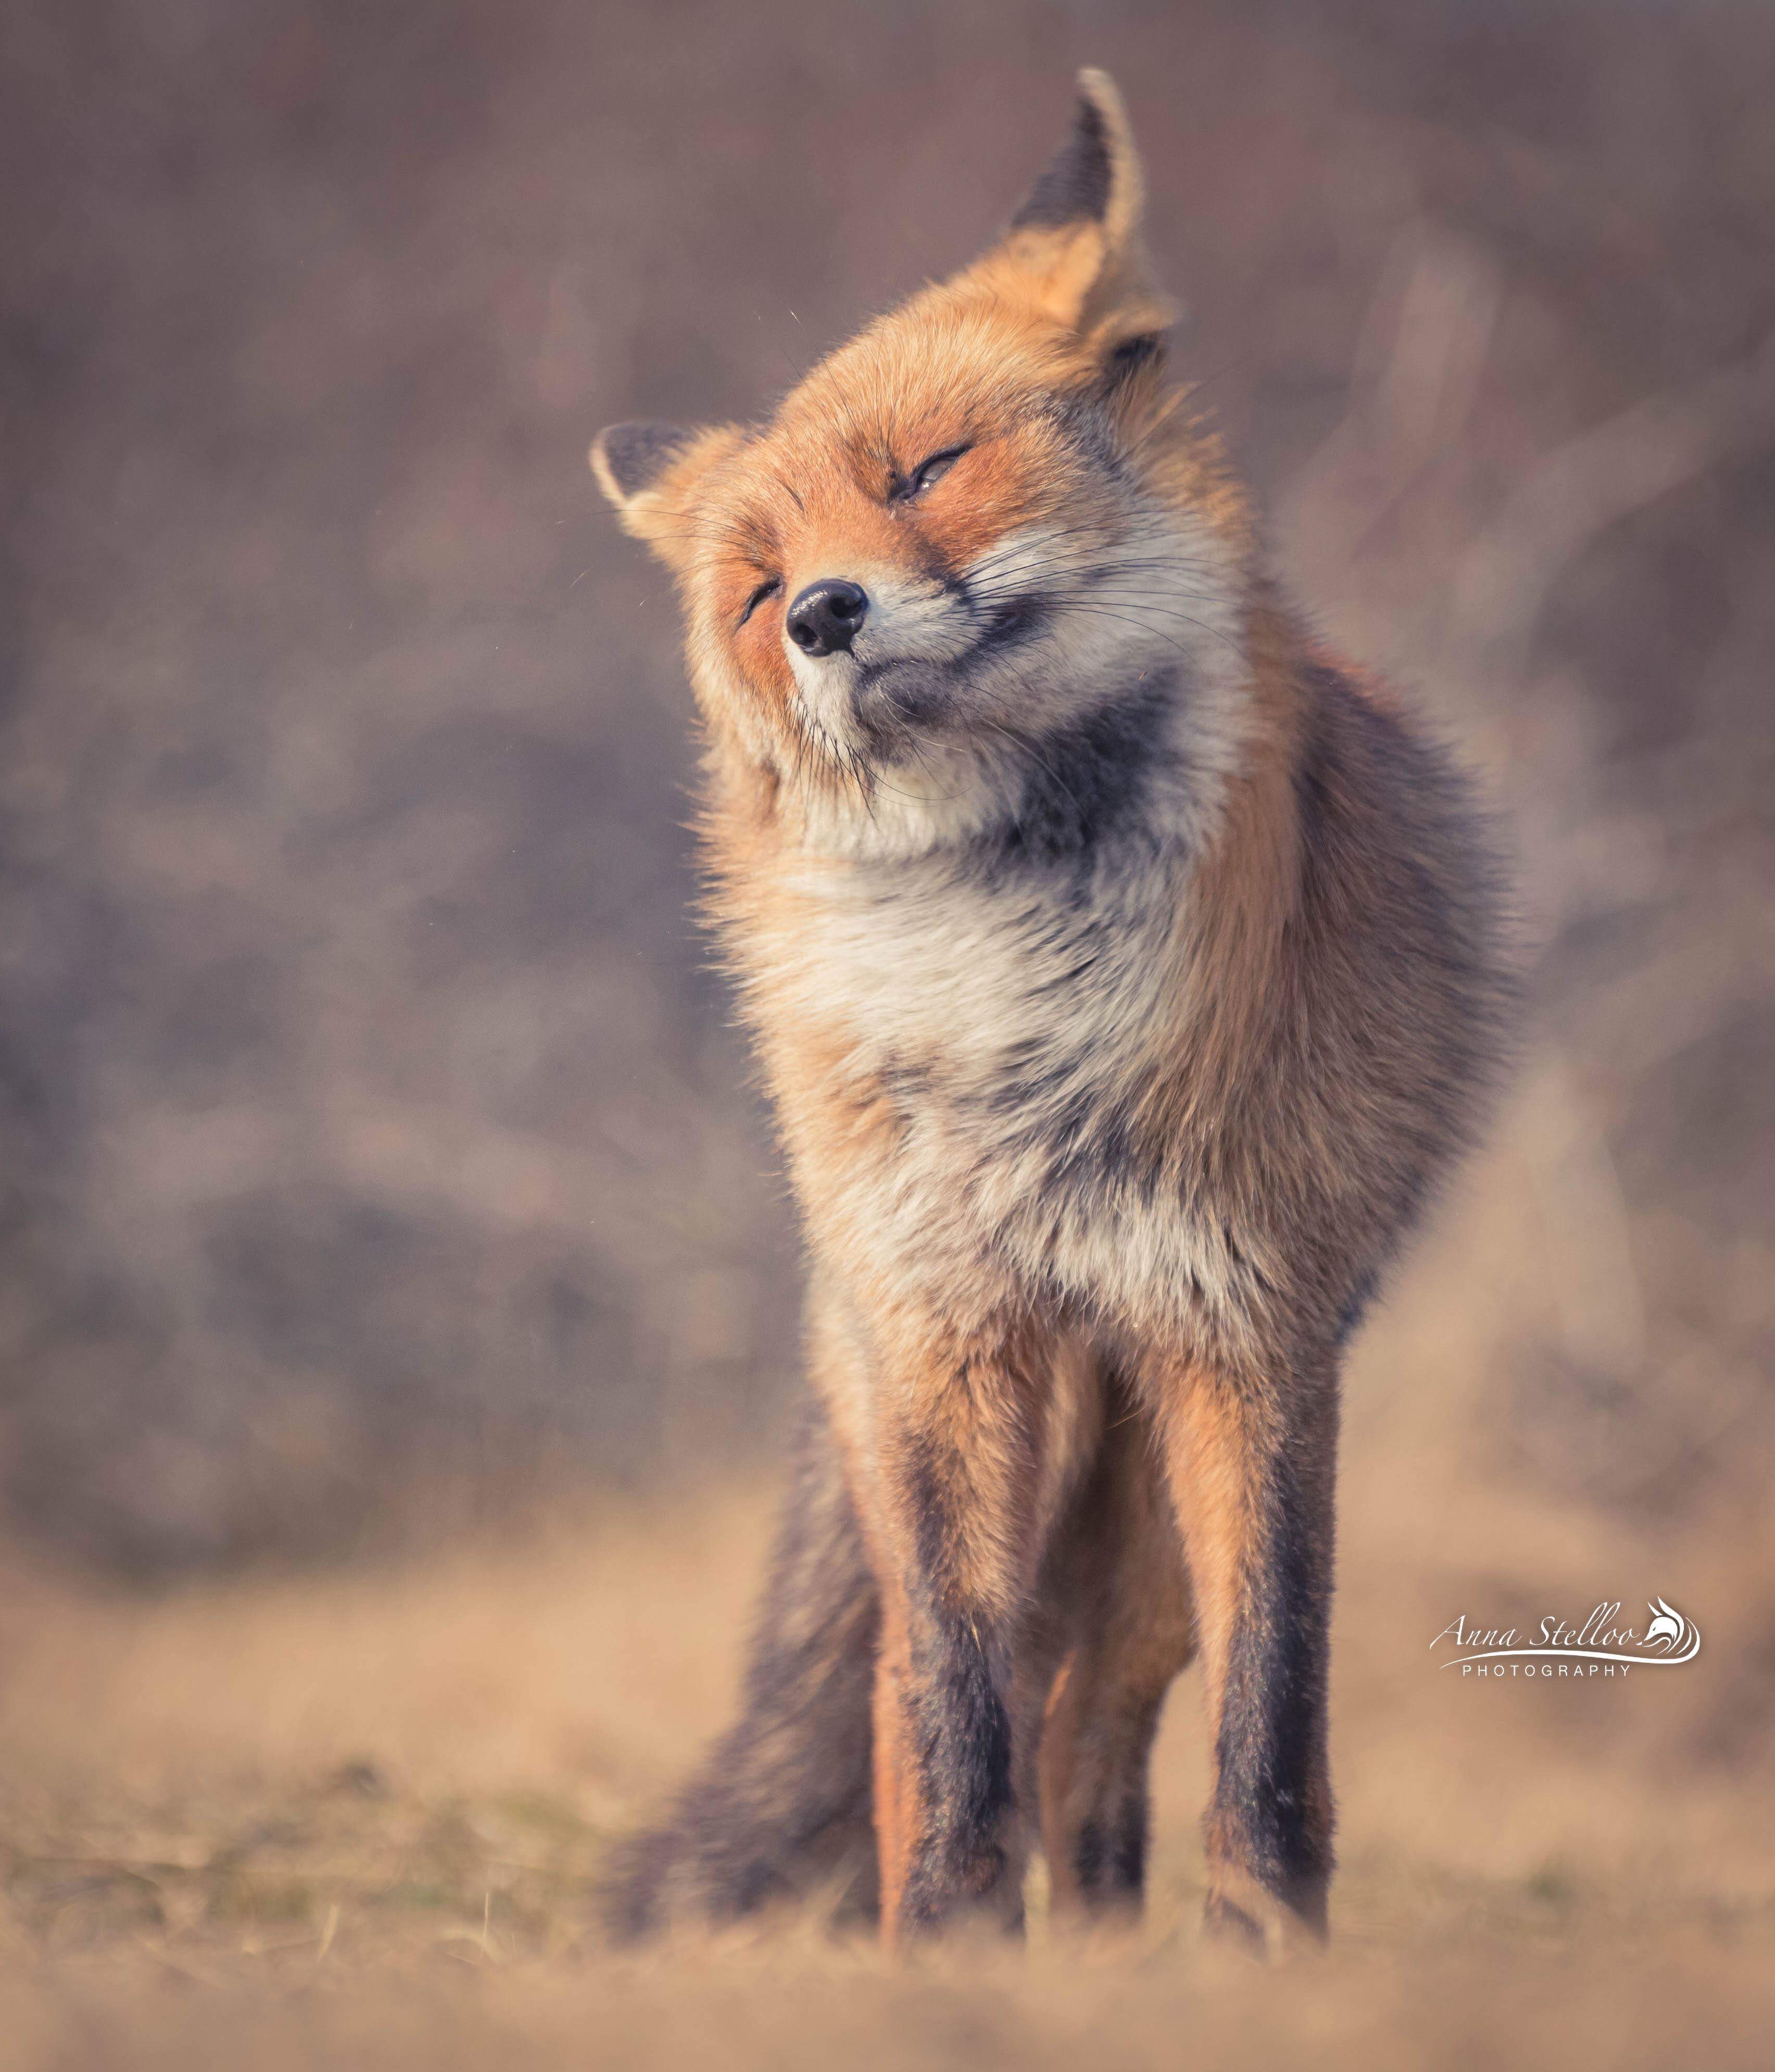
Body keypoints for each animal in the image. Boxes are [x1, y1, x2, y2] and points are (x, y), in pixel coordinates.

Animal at [588, 71, 1513, 1954]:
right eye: (754, 591)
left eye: (926, 472)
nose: (823, 614)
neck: (1011, 993)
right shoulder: (942, 1338)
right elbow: (951, 1711)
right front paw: (947, 1946)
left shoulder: (1247, 1336)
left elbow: (1269, 1707)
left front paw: (1264, 1955)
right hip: (941, 1419)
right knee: (945, 1694)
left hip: (1139, 1483)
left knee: (1102, 1716)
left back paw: (1098, 1946)